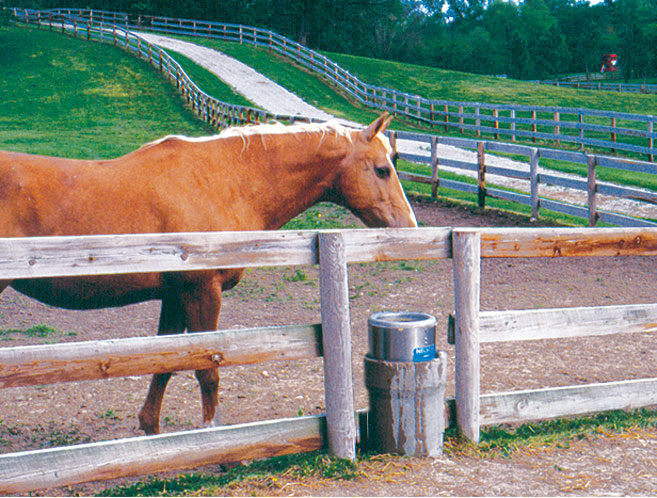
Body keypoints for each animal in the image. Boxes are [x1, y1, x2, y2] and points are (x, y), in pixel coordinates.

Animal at [0, 112, 416, 432]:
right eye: (383, 169)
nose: (410, 228)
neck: (222, 181)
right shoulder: (202, 291)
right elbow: (207, 369)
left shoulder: (174, 295)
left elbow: (166, 363)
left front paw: (152, 432)